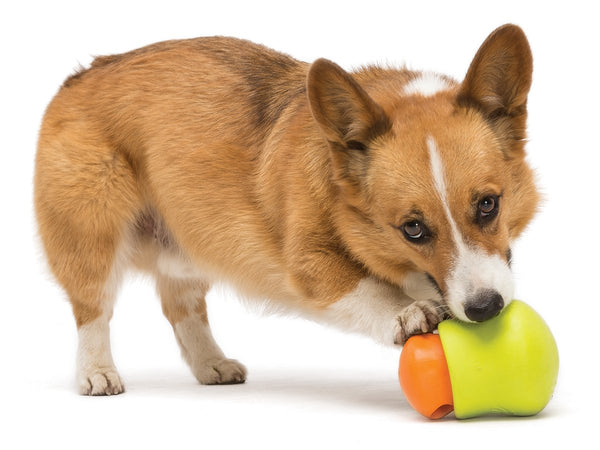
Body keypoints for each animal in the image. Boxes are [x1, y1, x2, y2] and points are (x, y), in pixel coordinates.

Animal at [34, 24, 540, 394]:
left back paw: (211, 365)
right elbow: (364, 288)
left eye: (488, 205)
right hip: (91, 238)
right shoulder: (309, 264)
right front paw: (406, 312)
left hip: (189, 244)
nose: (486, 309)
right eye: (413, 228)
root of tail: (81, 74)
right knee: (92, 310)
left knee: (182, 306)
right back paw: (96, 373)